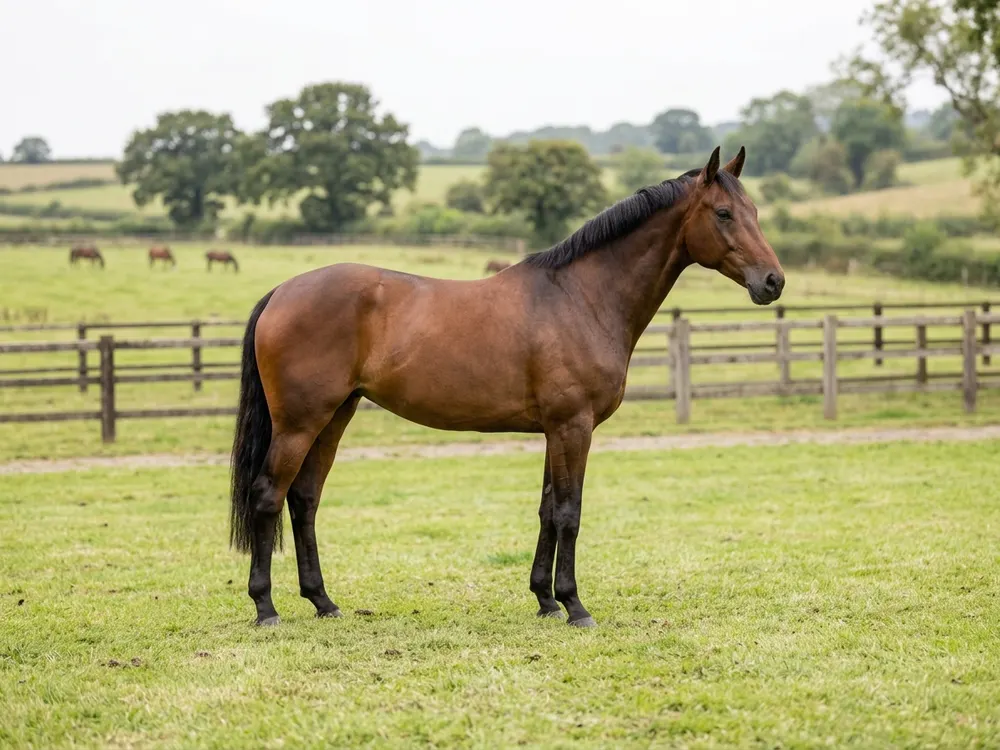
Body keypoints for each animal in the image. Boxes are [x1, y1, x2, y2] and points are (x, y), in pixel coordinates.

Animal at [229, 146, 784, 628]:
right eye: (723, 213)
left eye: (753, 210)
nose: (773, 282)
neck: (581, 297)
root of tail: (282, 291)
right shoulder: (574, 427)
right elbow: (569, 513)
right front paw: (575, 606)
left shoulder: (555, 431)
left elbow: (547, 511)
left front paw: (545, 600)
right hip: (300, 423)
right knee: (268, 496)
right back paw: (266, 608)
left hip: (335, 416)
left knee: (304, 499)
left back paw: (323, 601)